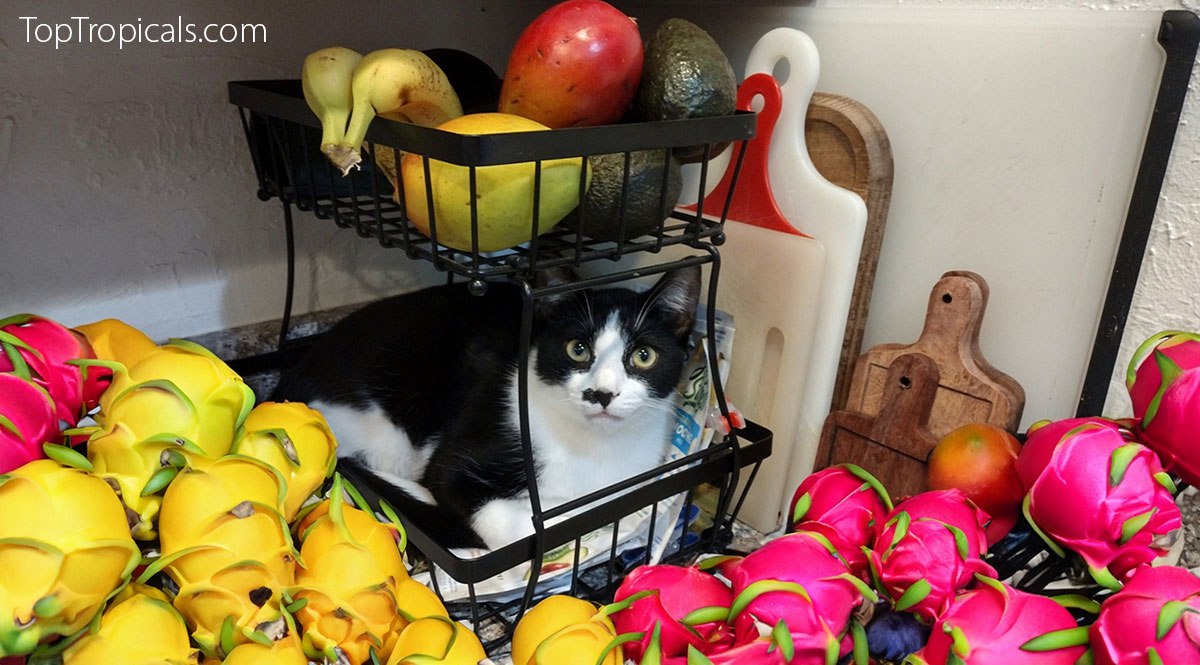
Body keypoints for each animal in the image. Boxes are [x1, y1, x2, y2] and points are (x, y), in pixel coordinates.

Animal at [272, 264, 700, 549]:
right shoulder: (473, 442)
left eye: (643, 356)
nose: (602, 394)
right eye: (577, 349)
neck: (592, 446)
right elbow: (508, 522)